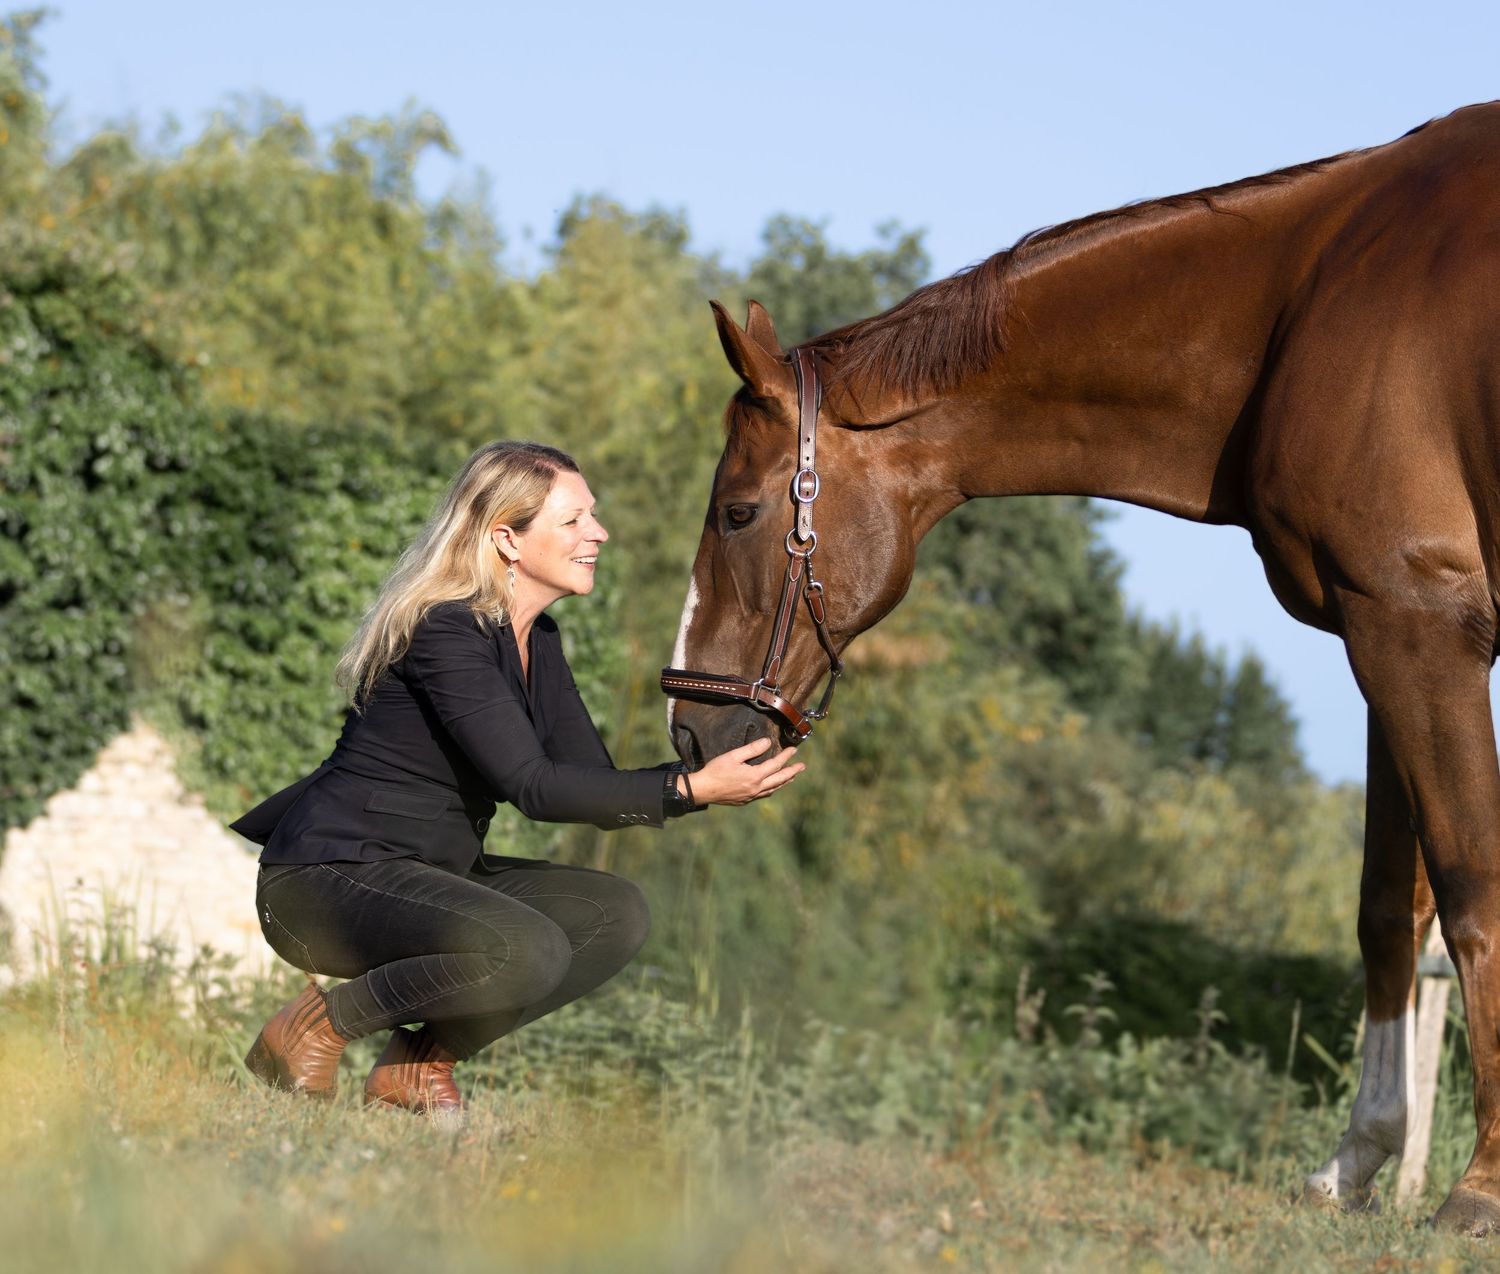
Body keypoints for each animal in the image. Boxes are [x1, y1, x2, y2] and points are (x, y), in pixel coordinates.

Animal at [662, 102, 1500, 1234]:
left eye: (738, 511)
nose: (690, 725)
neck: (1316, 293)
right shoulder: (1385, 637)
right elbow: (1388, 908)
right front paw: (1354, 1162)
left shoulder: (1420, 630)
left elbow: (1472, 893)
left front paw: (1479, 1184)